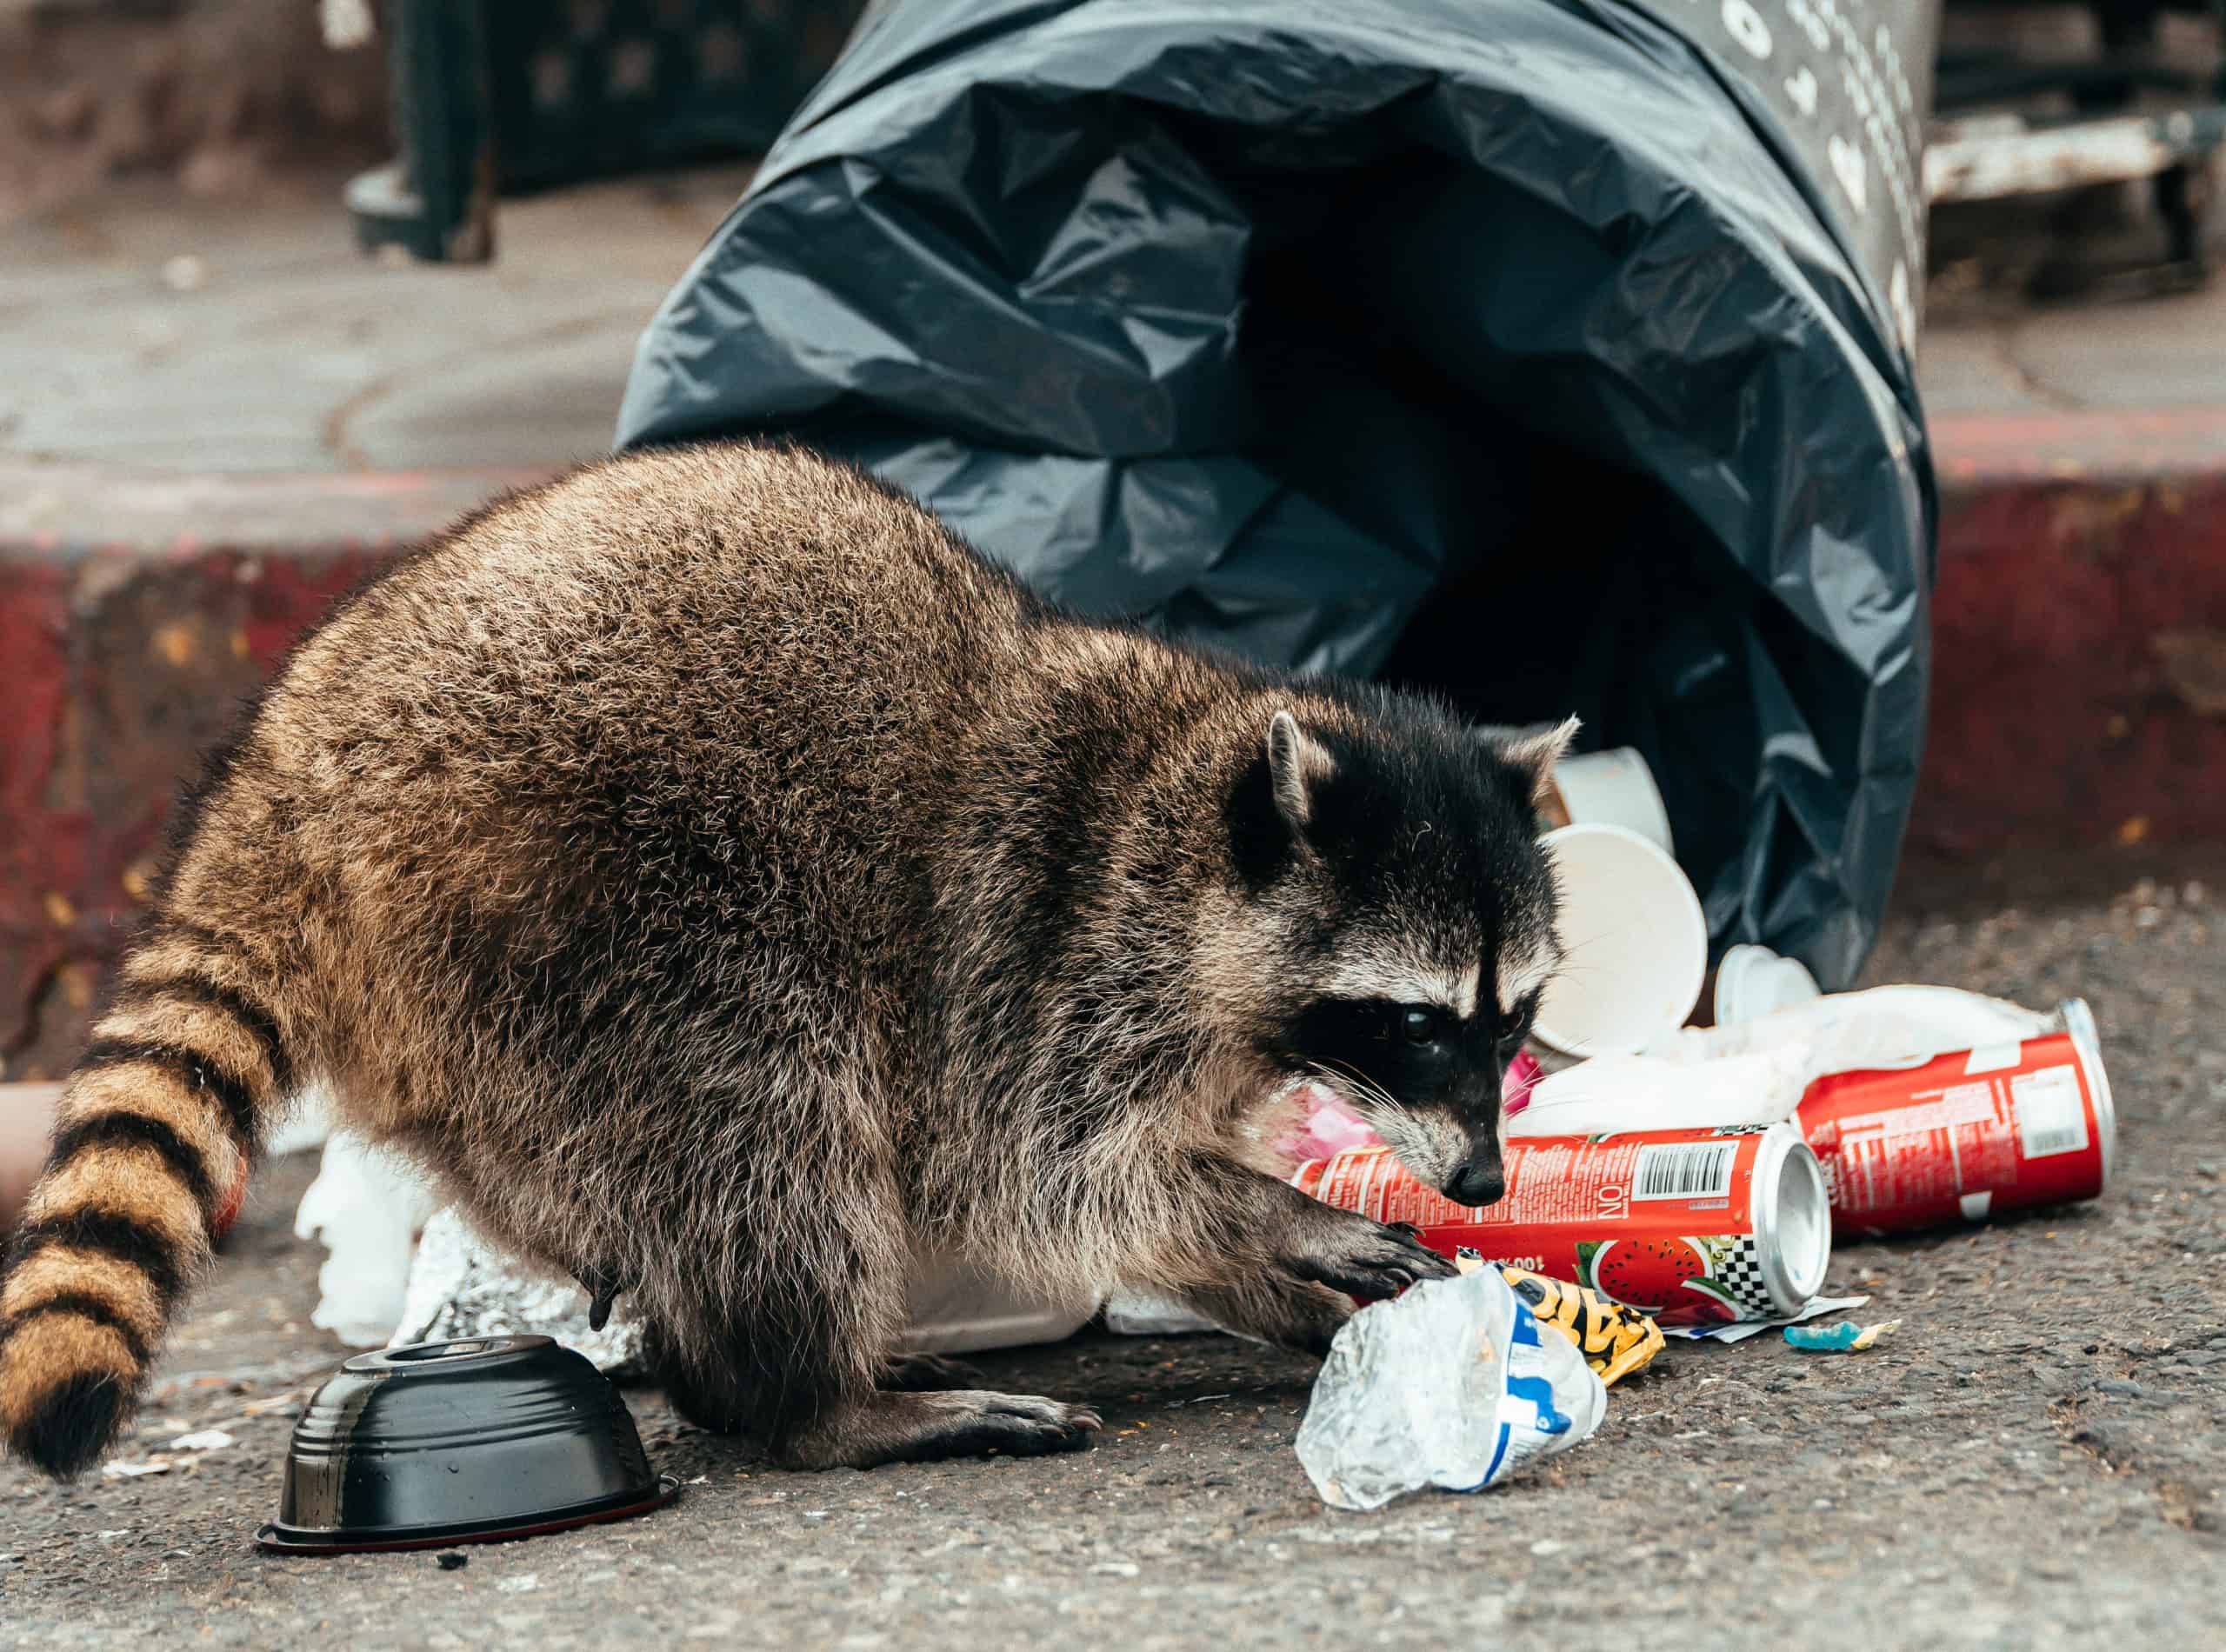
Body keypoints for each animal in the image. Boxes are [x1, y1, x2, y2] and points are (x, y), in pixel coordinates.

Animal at [0, 442, 1570, 1480]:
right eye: (1415, 1024)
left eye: (1515, 1022)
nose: (1486, 1181)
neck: (1189, 803)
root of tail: (290, 769)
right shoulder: (1040, 959)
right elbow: (1057, 1176)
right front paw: (1274, 1222)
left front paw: (1280, 1269)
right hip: (583, 914)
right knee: (767, 1127)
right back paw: (813, 1400)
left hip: (480, 1024)